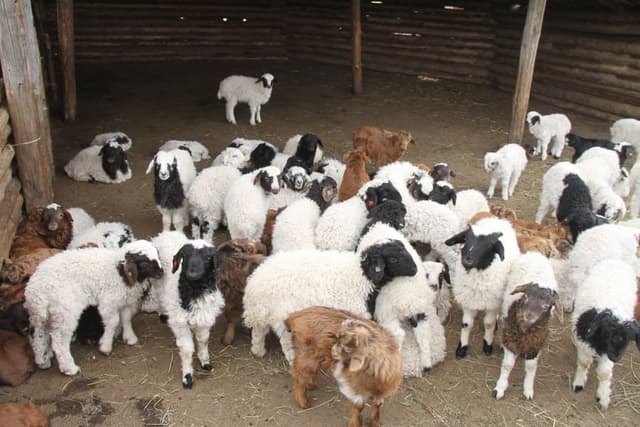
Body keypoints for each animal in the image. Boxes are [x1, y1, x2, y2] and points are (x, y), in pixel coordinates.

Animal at [24, 241, 163, 375]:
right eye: (145, 262)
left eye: (157, 255)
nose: (162, 273)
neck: (119, 272)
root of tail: (35, 292)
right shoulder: (108, 301)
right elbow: (113, 322)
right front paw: (105, 346)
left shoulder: (124, 300)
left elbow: (126, 319)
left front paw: (129, 337)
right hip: (64, 312)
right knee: (59, 340)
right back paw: (69, 368)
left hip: (43, 315)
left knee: (38, 335)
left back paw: (43, 360)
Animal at [242, 228, 418, 363]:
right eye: (393, 259)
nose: (415, 270)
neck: (362, 275)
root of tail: (255, 284)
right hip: (283, 314)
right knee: (285, 341)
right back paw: (293, 359)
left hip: (264, 313)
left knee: (258, 332)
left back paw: (258, 351)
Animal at [444, 217, 521, 358]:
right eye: (465, 239)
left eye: (490, 246)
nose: (467, 260)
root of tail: (496, 219)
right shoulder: (469, 301)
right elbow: (467, 325)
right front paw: (462, 348)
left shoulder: (492, 304)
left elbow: (489, 324)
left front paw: (487, 345)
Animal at [493, 252, 560, 400]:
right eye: (526, 297)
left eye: (546, 306)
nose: (526, 318)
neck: (524, 331)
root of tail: (535, 253)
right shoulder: (510, 338)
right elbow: (507, 365)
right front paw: (500, 387)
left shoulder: (536, 343)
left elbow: (531, 366)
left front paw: (528, 389)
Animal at [571, 259, 640, 410]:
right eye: (607, 333)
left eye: (629, 338)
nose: (616, 357)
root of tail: (615, 260)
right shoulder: (583, 343)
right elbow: (584, 363)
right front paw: (579, 383)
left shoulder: (608, 353)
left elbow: (604, 374)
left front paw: (603, 397)